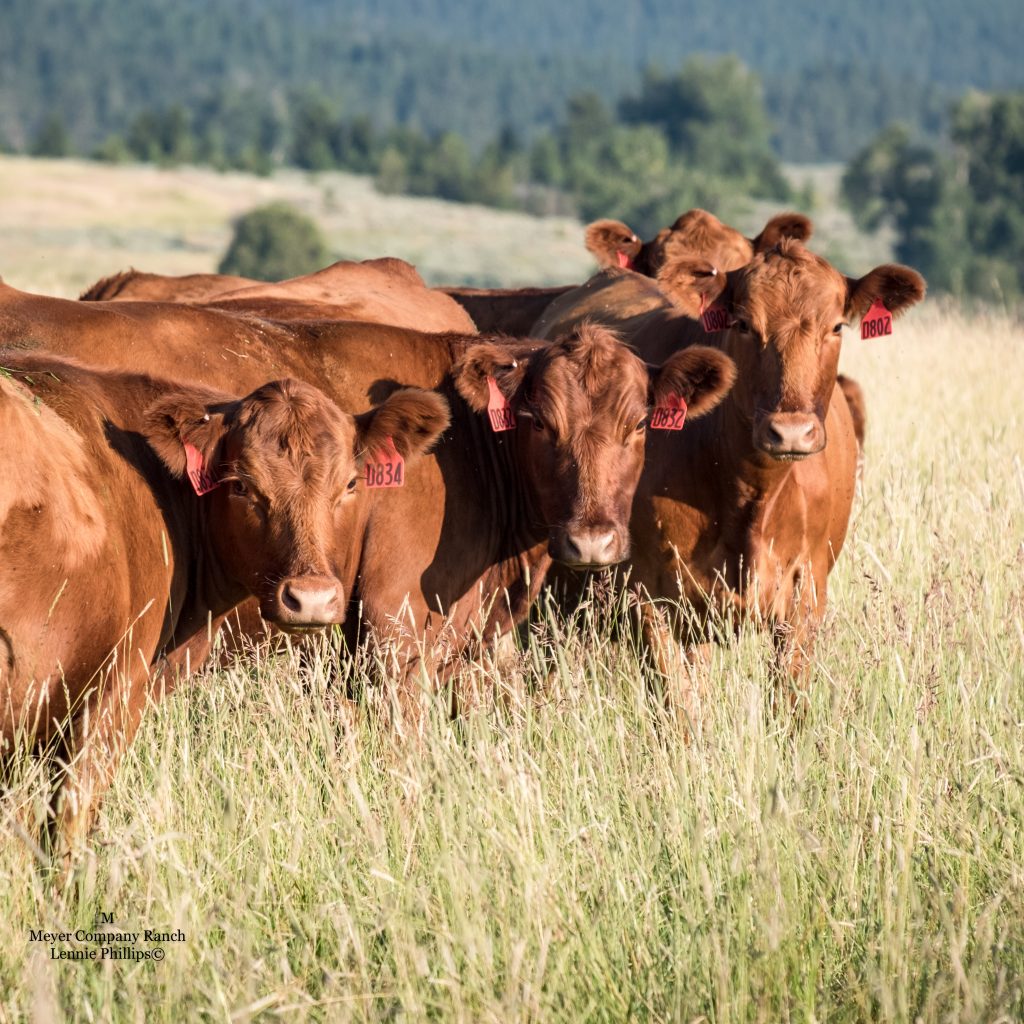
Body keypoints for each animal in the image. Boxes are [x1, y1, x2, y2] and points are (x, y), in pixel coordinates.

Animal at [540, 241, 925, 712]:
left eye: (837, 326)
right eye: (743, 324)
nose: (790, 431)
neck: (749, 495)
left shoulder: (807, 594)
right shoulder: (649, 598)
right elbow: (679, 706)